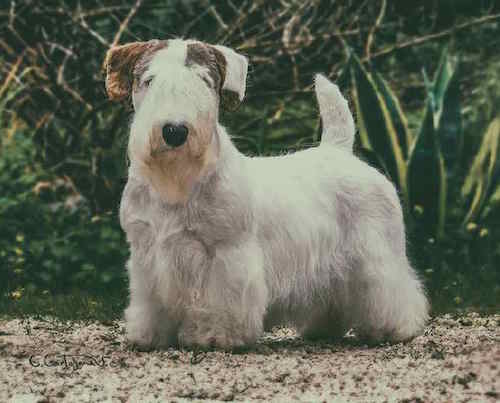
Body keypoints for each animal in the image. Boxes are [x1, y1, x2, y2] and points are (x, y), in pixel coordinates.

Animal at [103, 39, 428, 352]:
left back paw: (392, 329)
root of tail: (339, 151)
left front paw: (217, 335)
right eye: (149, 80)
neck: (179, 183)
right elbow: (151, 301)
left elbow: (223, 300)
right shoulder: (147, 254)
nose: (175, 130)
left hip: (376, 254)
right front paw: (150, 335)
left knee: (393, 290)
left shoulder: (227, 253)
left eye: (204, 81)